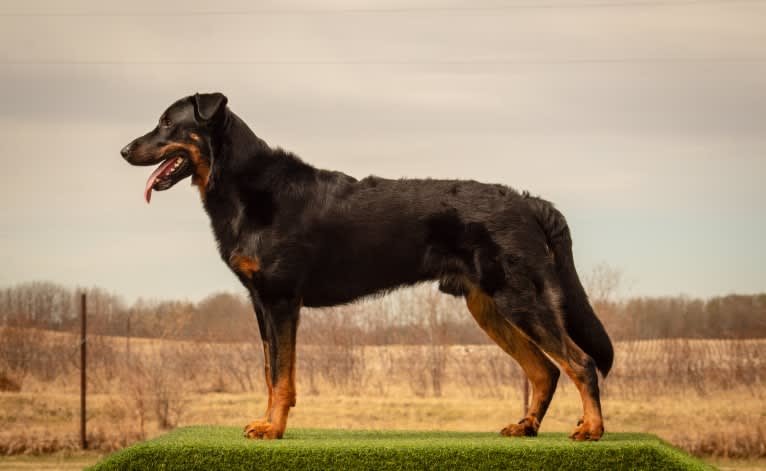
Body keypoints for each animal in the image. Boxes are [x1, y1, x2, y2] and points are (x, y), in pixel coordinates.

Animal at [123, 93, 616, 442]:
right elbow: (269, 371)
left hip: (518, 298)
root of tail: (528, 201)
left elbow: (281, 375)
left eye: (167, 122)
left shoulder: (281, 300)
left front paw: (273, 429)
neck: (242, 186)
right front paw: (267, 423)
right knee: (545, 370)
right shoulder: (261, 303)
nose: (125, 150)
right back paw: (526, 427)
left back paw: (591, 430)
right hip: (489, 307)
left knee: (580, 362)